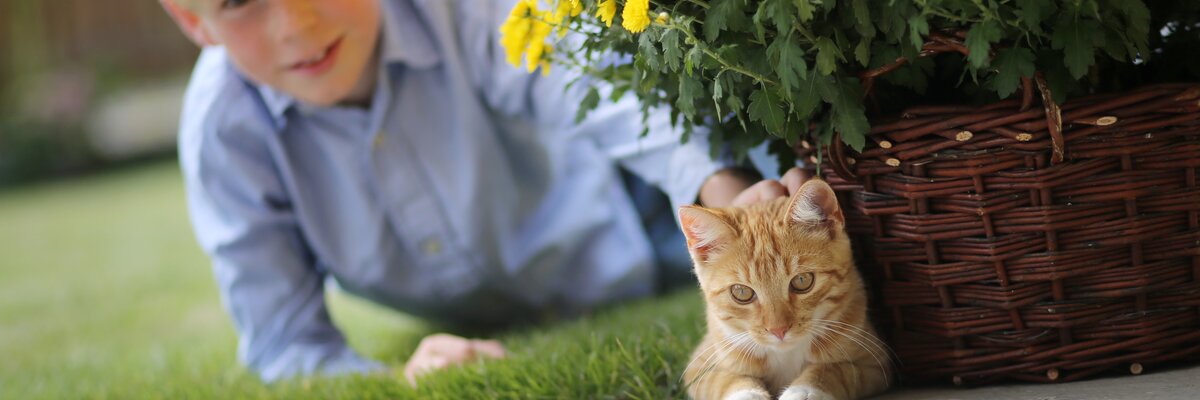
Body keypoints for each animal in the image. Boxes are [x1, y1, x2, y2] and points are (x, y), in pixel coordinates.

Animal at [681, 180, 888, 398]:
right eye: (742, 293)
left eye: (802, 281)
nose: (778, 330)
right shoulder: (699, 369)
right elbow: (725, 380)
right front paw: (748, 394)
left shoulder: (874, 363)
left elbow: (831, 369)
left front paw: (803, 390)